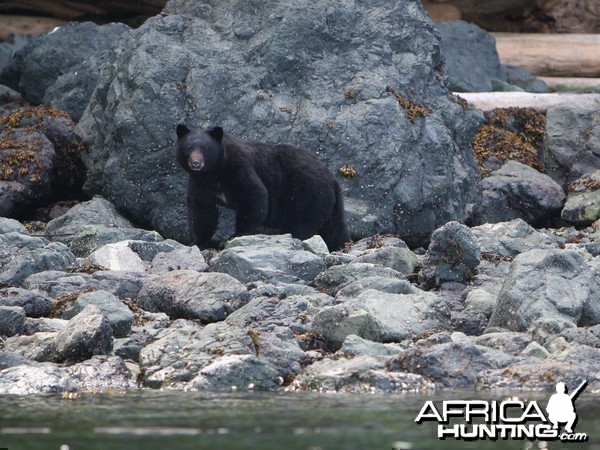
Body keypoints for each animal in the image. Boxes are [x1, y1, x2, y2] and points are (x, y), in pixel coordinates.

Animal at [176, 125, 350, 250]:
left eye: (205, 149)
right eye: (189, 147)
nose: (196, 163)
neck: (215, 172)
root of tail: (333, 179)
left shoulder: (238, 168)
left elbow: (254, 194)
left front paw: (236, 235)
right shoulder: (200, 182)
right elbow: (202, 209)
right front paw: (197, 241)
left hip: (309, 194)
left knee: (302, 224)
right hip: (328, 203)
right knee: (334, 229)